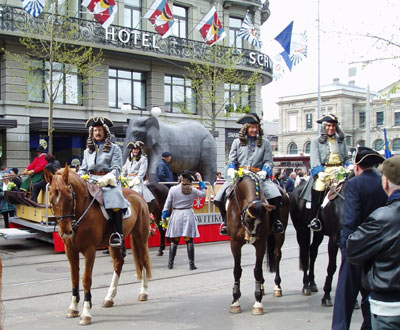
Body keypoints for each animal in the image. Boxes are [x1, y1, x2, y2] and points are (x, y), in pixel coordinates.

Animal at [45, 166, 152, 326]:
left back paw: (143, 292)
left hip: (140, 236)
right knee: (118, 263)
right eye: (51, 199)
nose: (65, 232)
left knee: (143, 260)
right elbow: (74, 278)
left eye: (69, 198)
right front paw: (73, 308)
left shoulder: (90, 251)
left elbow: (86, 280)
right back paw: (109, 298)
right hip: (113, 244)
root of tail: (138, 195)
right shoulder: (70, 251)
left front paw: (86, 314)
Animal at [227, 173, 290, 314]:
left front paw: (257, 302)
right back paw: (261, 286)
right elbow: (237, 271)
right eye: (248, 219)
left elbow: (257, 270)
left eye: (261, 221)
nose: (251, 238)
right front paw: (235, 301)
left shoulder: (260, 243)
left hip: (279, 235)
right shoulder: (235, 243)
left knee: (277, 255)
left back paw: (277, 287)